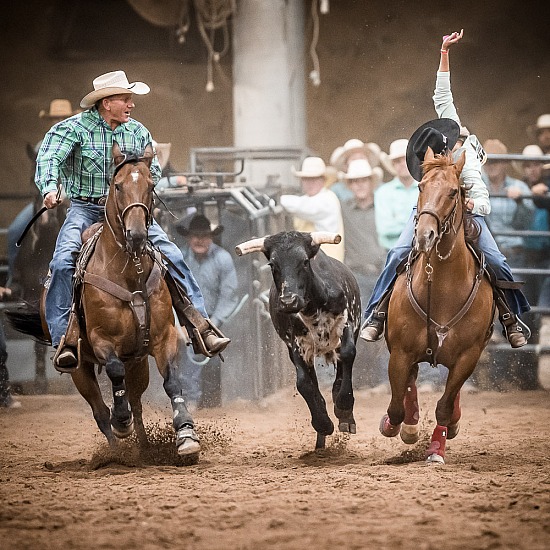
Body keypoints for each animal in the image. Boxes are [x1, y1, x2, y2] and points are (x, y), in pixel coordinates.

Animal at [384, 150, 496, 466]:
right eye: (421, 186)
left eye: (453, 192)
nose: (425, 235)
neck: (443, 288)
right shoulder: (400, 351)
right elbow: (397, 404)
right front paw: (398, 426)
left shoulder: (469, 355)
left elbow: (444, 405)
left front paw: (436, 449)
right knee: (410, 382)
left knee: (449, 395)